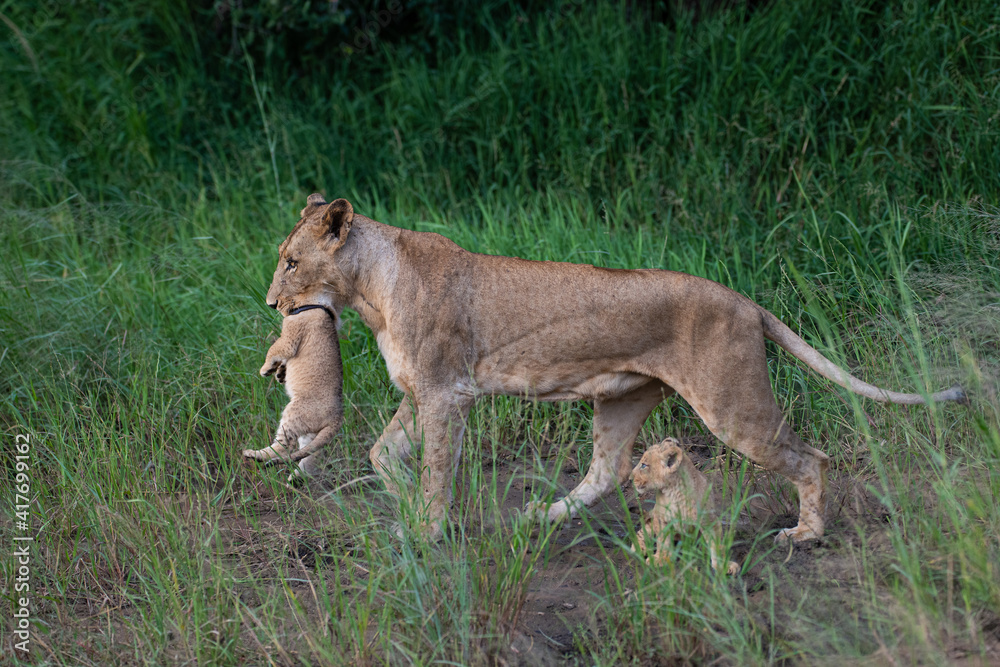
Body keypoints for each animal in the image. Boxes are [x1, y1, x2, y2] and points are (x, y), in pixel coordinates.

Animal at [243, 305, 343, 481]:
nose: (271, 304)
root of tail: (338, 416)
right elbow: (281, 360)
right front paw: (279, 374)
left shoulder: (290, 337)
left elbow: (274, 349)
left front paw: (265, 369)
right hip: (311, 431)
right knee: (311, 453)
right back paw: (297, 479)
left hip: (294, 413)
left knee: (285, 446)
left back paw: (255, 455)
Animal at [263, 193, 965, 542]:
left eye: (291, 262)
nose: (272, 303)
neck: (369, 291)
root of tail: (746, 301)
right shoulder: (419, 393)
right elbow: (382, 454)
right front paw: (406, 504)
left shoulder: (446, 392)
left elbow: (437, 469)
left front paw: (429, 530)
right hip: (623, 398)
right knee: (608, 471)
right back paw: (539, 518)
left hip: (731, 404)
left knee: (810, 458)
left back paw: (806, 535)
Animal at [631, 438, 739, 575]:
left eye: (644, 465)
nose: (629, 478)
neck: (674, 492)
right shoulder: (661, 518)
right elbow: (662, 540)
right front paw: (660, 558)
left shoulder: (709, 521)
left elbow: (716, 545)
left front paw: (723, 566)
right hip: (653, 517)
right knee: (643, 530)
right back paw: (638, 547)